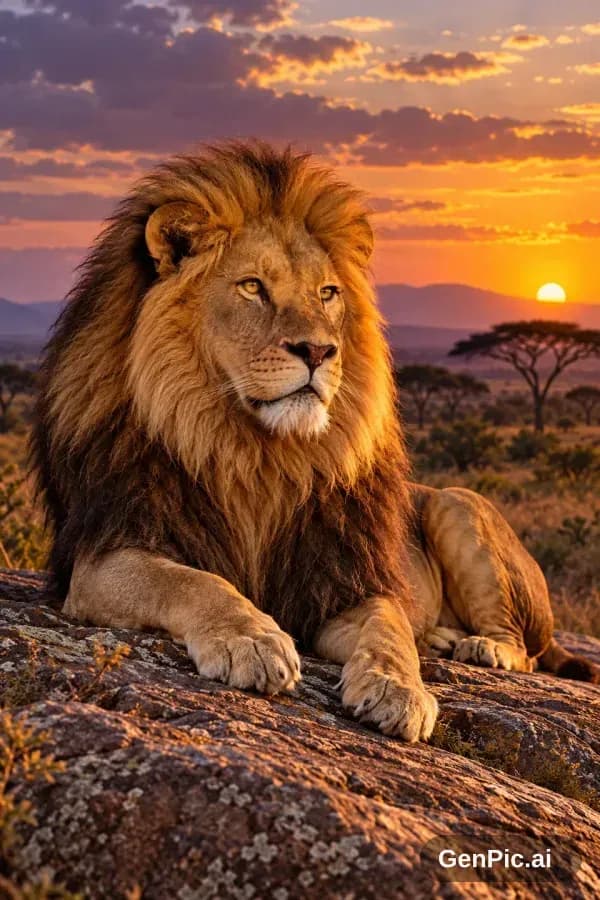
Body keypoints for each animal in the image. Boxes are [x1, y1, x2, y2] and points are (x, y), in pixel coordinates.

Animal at [30, 142, 598, 745]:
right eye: (252, 286)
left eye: (327, 294)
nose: (319, 351)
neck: (252, 451)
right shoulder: (101, 555)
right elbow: (190, 580)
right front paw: (252, 639)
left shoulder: (345, 579)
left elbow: (389, 631)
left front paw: (399, 689)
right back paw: (442, 639)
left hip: (457, 504)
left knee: (525, 649)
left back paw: (482, 647)